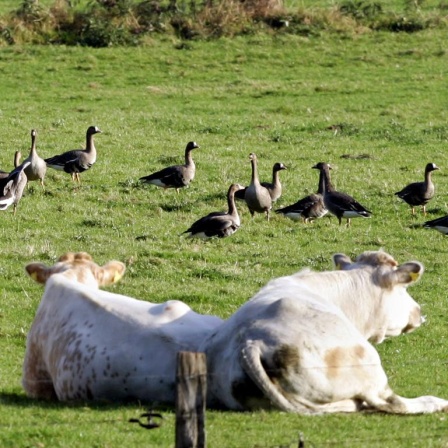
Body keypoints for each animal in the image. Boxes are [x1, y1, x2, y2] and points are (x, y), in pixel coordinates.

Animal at [201, 250, 448, 414]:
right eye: (403, 289)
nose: (418, 311)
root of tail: (250, 342)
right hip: (368, 365)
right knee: (392, 402)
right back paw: (436, 402)